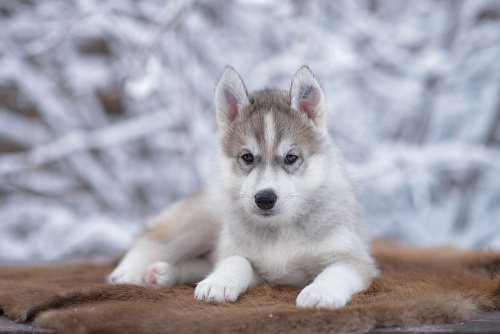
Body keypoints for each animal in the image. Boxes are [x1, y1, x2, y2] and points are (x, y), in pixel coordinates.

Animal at [108, 65, 376, 308]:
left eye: (291, 158)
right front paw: (219, 282)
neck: (281, 230)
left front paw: (320, 293)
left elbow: (337, 271)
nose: (265, 199)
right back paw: (129, 272)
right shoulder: (244, 256)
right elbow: (237, 261)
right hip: (202, 222)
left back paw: (161, 274)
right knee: (151, 240)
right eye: (247, 157)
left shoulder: (354, 258)